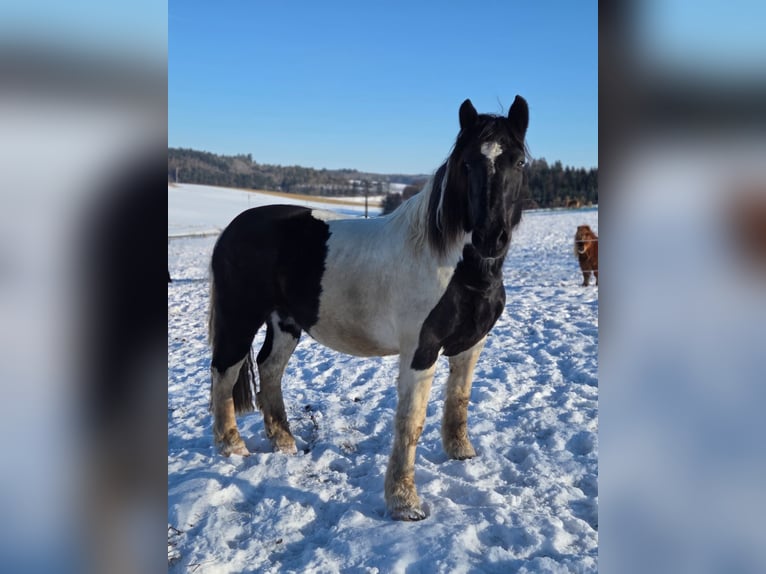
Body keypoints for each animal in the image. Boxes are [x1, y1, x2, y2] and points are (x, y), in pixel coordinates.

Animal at [208, 96, 530, 520]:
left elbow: (459, 400)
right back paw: (232, 447)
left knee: (269, 369)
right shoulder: (420, 352)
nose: (490, 237)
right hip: (239, 319)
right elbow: (410, 423)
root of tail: (230, 230)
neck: (459, 267)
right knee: (224, 374)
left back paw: (284, 442)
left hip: (286, 323)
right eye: (466, 164)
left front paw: (461, 453)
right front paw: (405, 503)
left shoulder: (470, 345)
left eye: (519, 162)